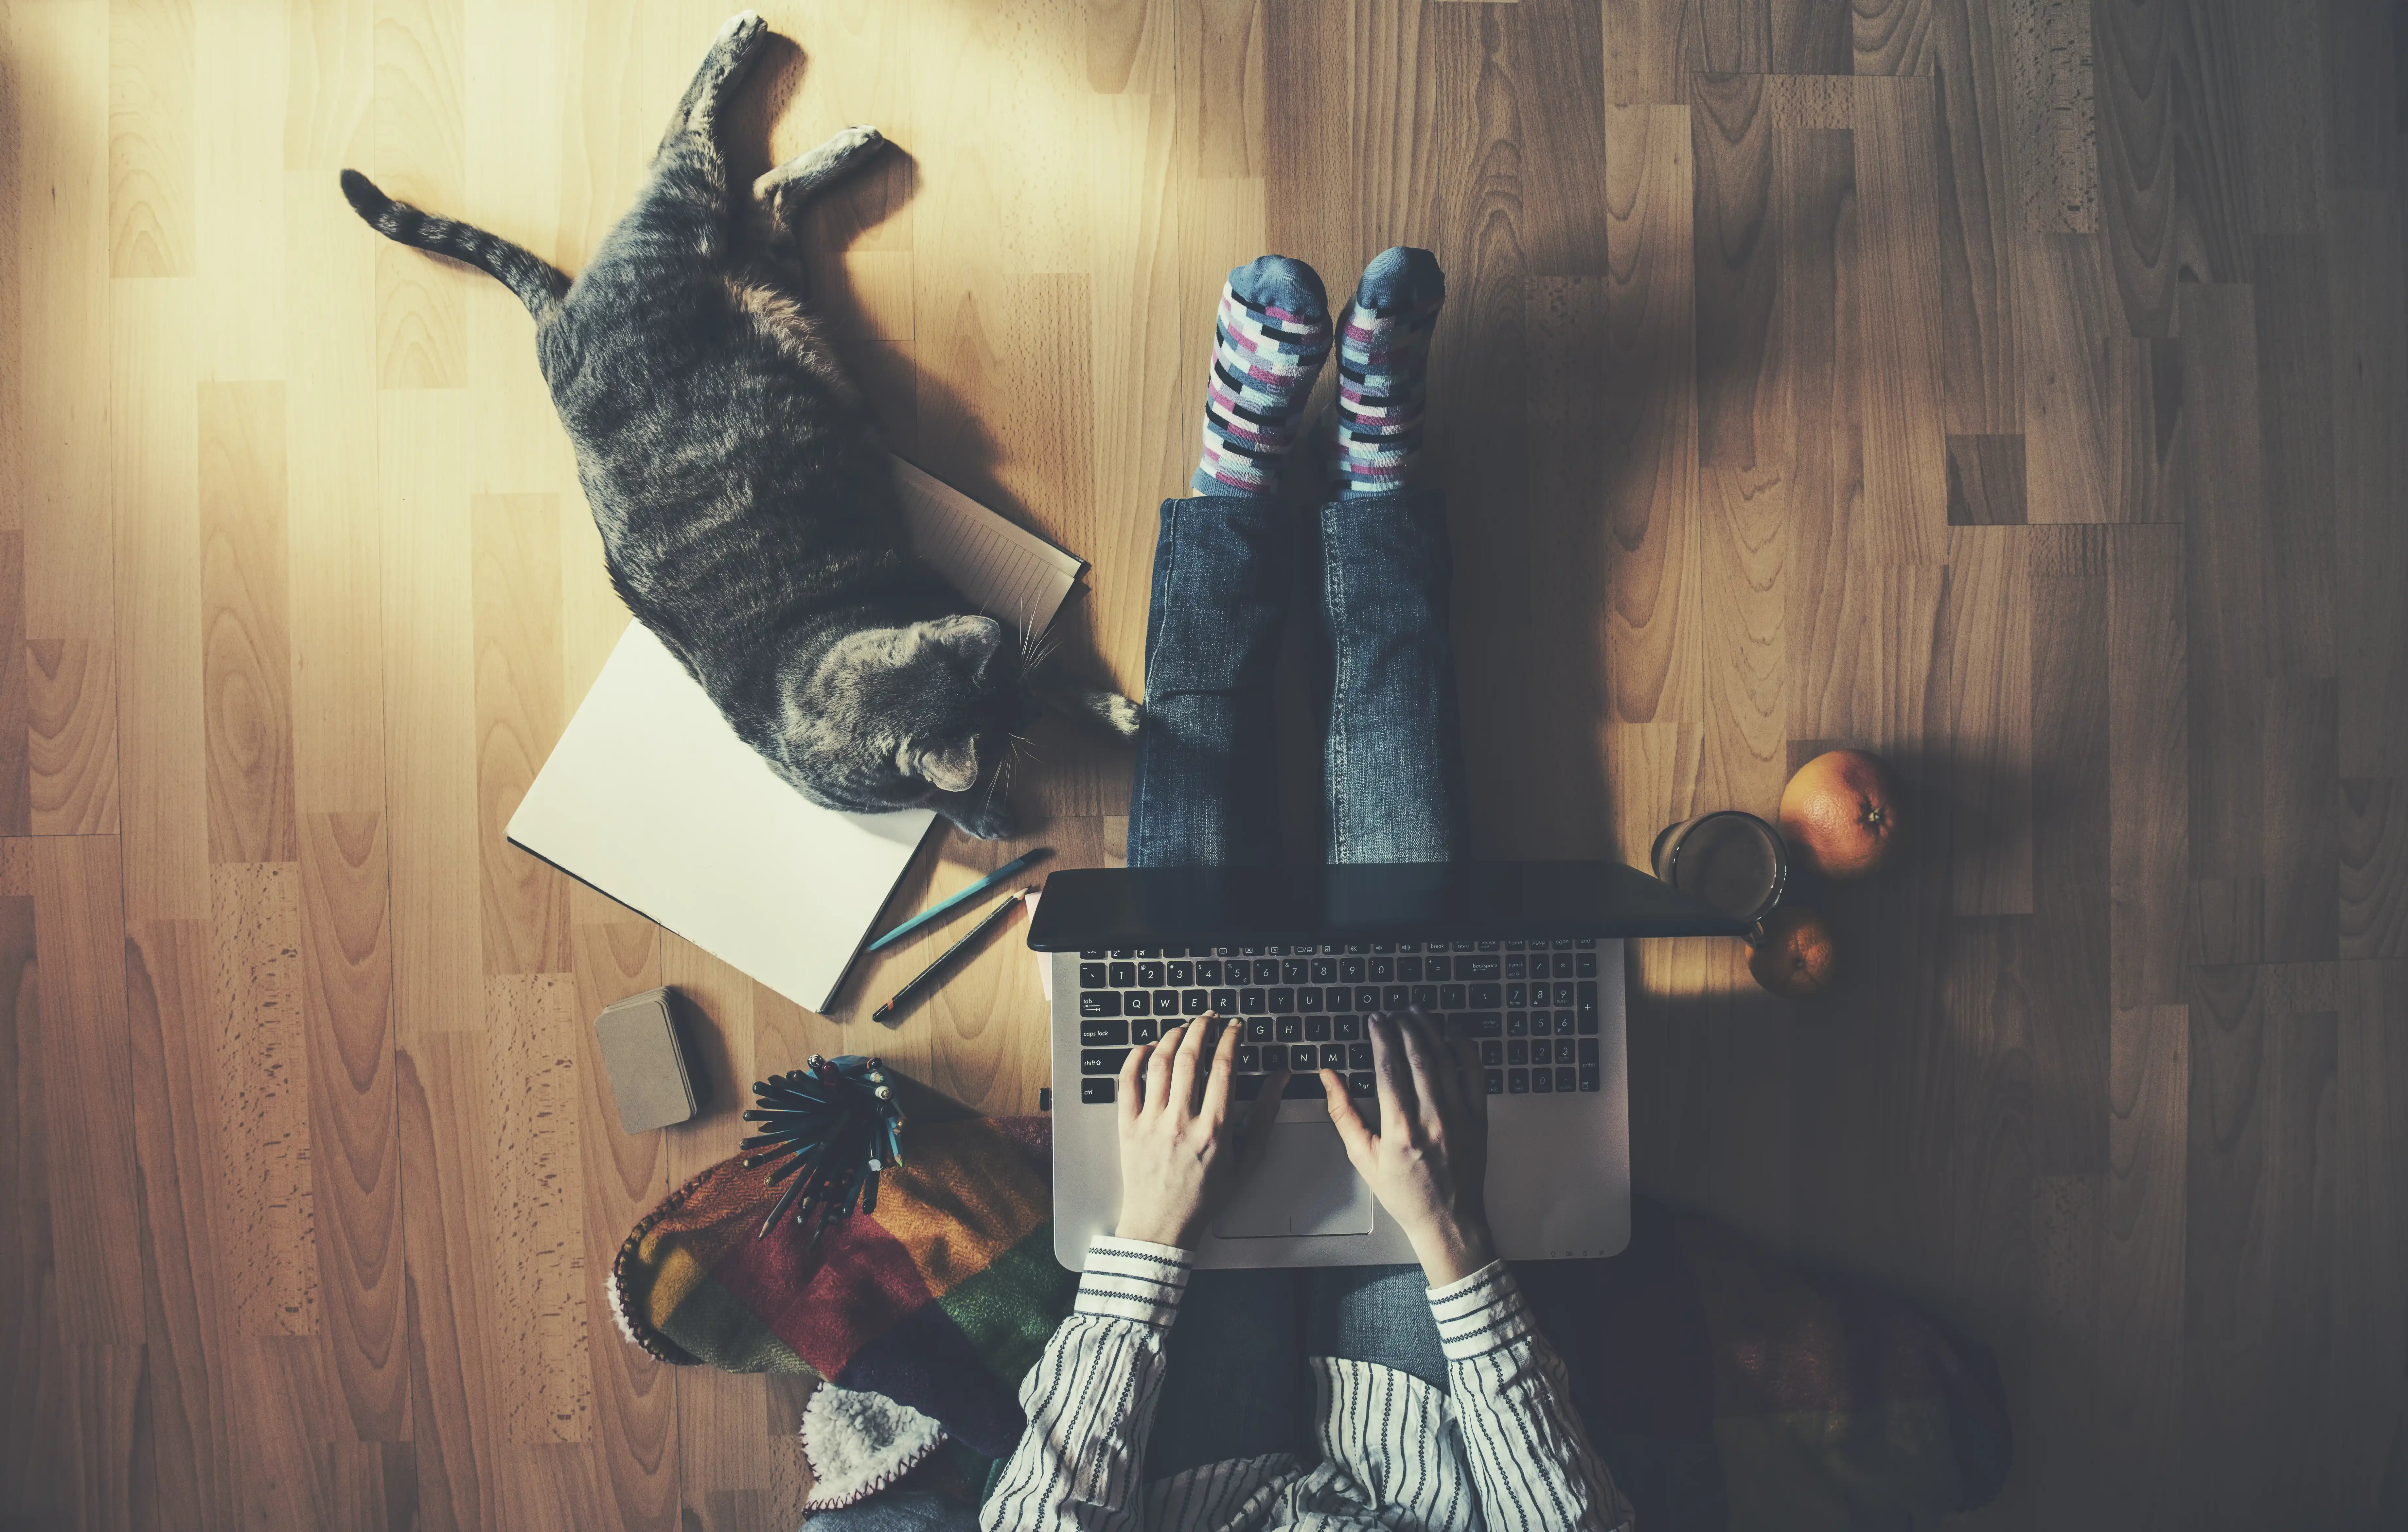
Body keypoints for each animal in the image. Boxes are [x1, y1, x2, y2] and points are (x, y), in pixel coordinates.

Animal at [339, 9, 1136, 838]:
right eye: (1006, 733)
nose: (1022, 701)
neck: (805, 667)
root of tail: (556, 314)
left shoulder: (954, 597)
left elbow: (1057, 678)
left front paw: (1103, 712)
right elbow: (945, 796)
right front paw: (984, 809)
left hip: (715, 225)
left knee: (712, 153)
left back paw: (764, 57)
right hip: (743, 243)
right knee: (747, 177)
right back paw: (812, 108)